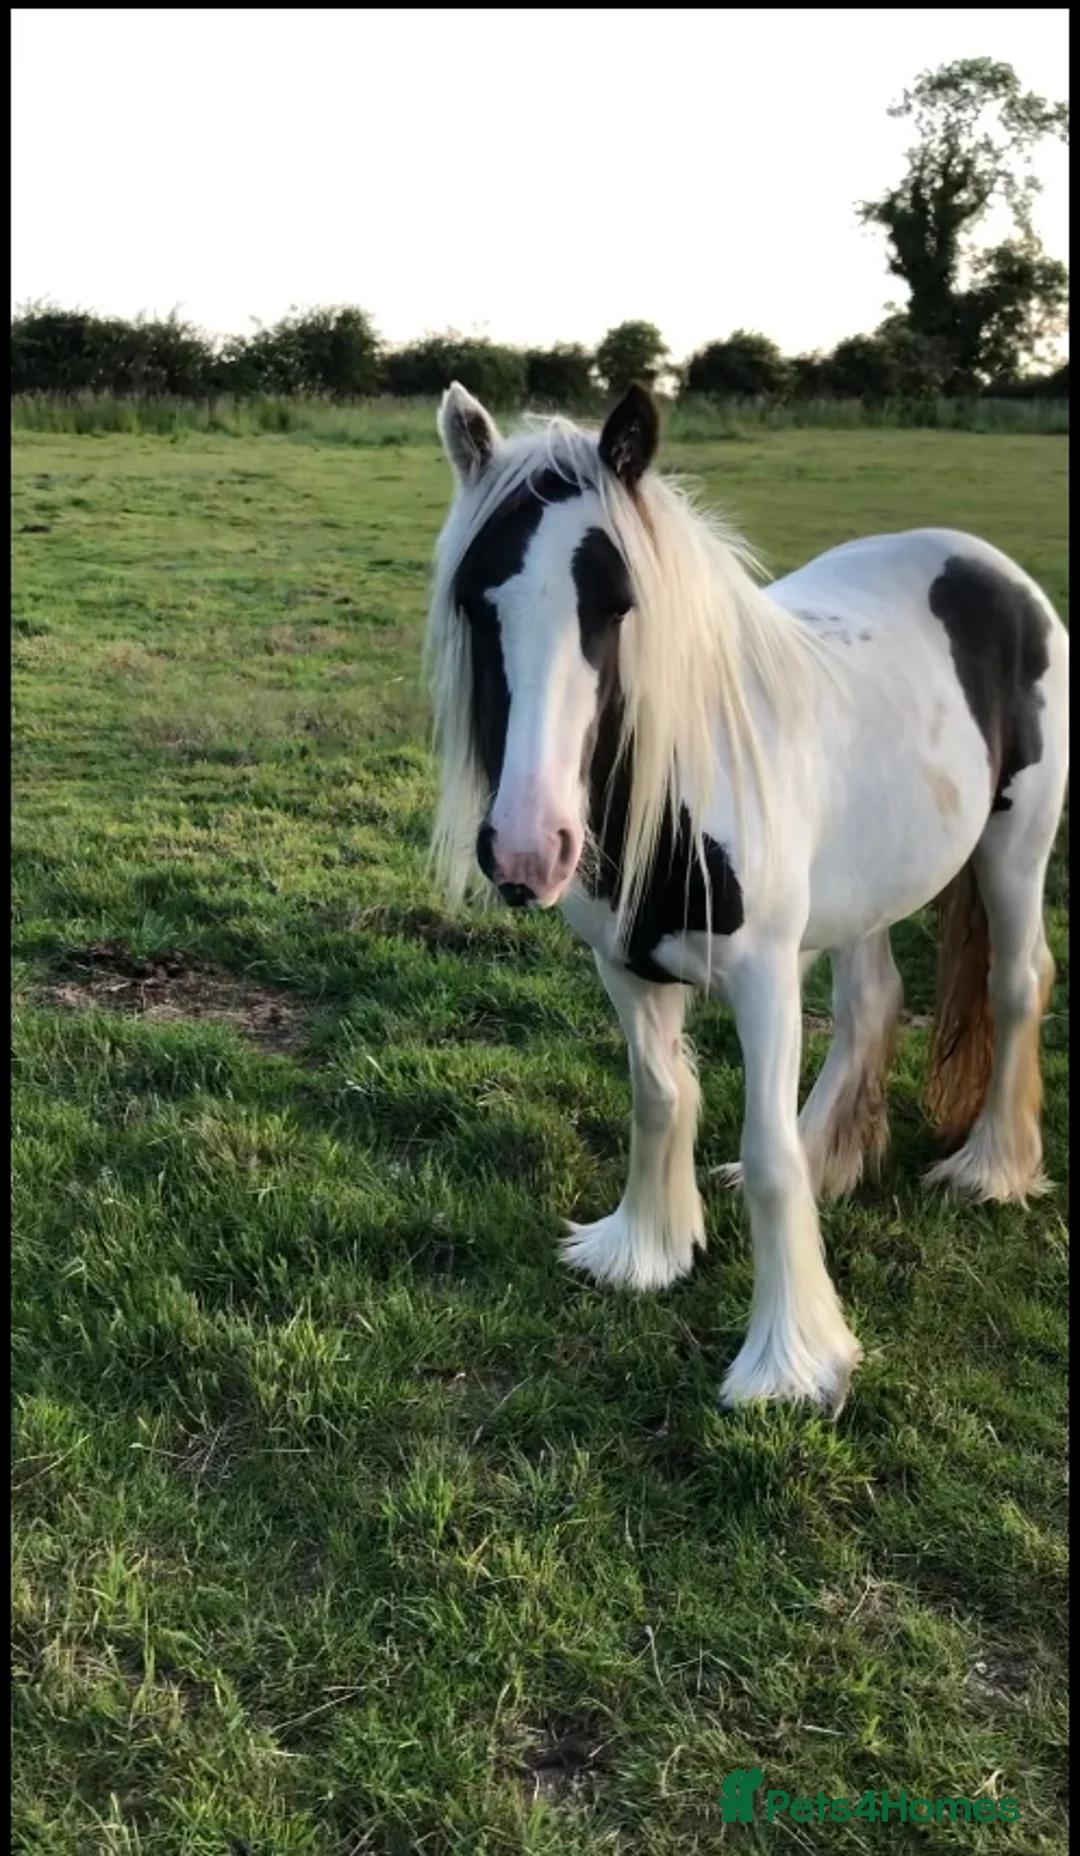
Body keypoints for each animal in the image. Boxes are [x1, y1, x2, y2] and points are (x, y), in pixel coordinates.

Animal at [425, 380, 1069, 1411]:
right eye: (477, 598)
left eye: (616, 602)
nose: (528, 847)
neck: (679, 779)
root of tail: (986, 564)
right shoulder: (624, 965)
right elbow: (659, 1096)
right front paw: (642, 1251)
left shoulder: (765, 976)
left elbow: (769, 1162)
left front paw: (792, 1363)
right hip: (864, 887)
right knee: (873, 1002)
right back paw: (835, 1157)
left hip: (1016, 845)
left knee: (1016, 985)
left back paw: (991, 1170)